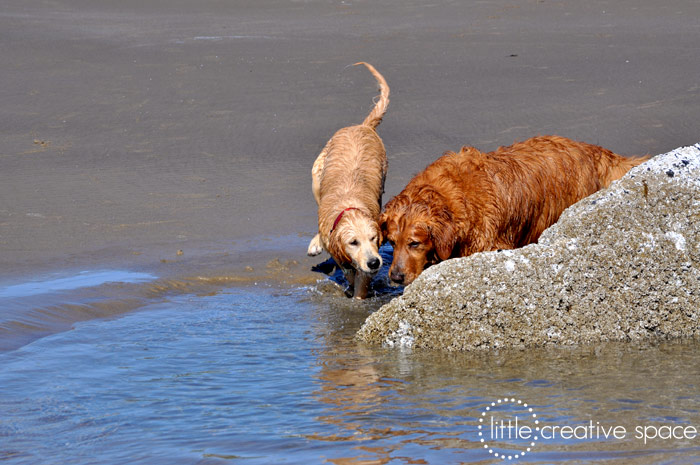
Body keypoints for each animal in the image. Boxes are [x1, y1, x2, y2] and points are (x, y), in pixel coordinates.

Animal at [308, 62, 392, 298]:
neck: (349, 208)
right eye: (353, 242)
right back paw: (315, 244)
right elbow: (347, 269)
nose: (374, 262)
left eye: (373, 238)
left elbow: (361, 280)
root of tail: (363, 126)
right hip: (316, 175)